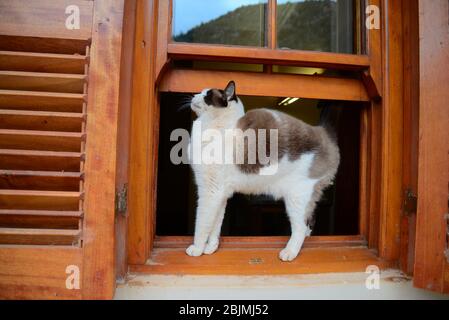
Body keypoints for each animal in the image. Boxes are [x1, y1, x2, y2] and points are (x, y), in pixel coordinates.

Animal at [186, 80, 340, 262]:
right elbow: (215, 224)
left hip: (296, 198)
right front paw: (211, 248)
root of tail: (322, 131)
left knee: (301, 227)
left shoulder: (210, 192)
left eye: (207, 95)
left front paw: (197, 249)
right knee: (309, 223)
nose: (194, 95)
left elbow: (202, 224)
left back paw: (289, 253)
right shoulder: (220, 194)